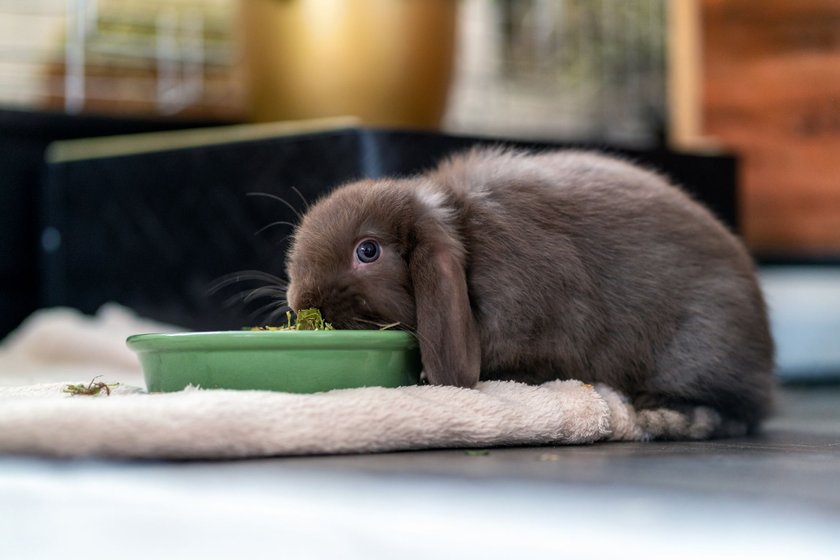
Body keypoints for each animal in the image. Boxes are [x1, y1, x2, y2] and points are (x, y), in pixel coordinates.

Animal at [286, 148, 776, 438]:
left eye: (367, 251)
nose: (300, 302)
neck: (464, 235)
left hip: (704, 347)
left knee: (737, 411)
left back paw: (665, 417)